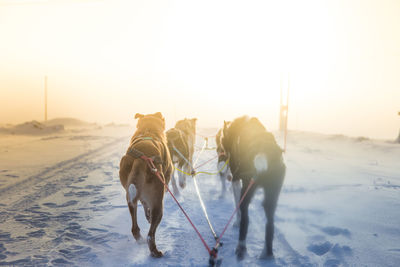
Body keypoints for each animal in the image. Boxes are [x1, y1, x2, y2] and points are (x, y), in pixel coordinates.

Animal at [120, 112, 173, 258]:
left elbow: (144, 204)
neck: (148, 129)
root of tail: (141, 158)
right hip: (158, 205)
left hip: (130, 196)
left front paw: (147, 214)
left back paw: (140, 238)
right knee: (151, 234)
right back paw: (155, 251)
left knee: (135, 227)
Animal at [220, 116, 286, 260]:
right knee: (270, 224)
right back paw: (266, 253)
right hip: (272, 196)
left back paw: (241, 247)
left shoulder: (236, 180)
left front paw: (236, 221)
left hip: (247, 191)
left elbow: (237, 207)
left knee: (245, 219)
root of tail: (264, 150)